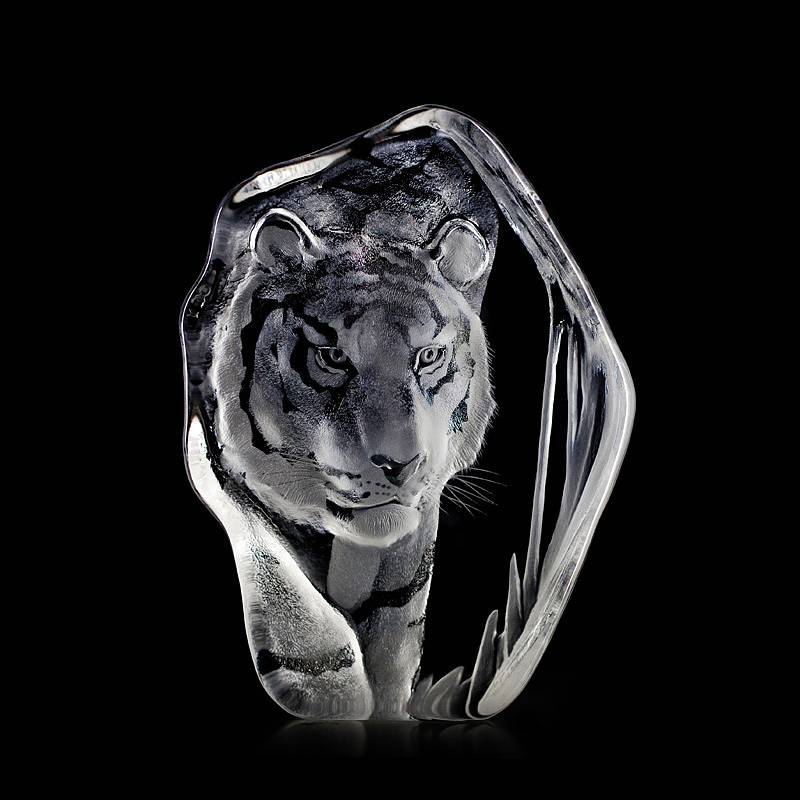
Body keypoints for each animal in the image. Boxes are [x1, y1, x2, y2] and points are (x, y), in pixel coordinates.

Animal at [183, 133, 500, 719]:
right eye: (332, 357)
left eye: (428, 356)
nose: (401, 465)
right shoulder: (209, 452)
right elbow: (277, 573)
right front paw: (329, 688)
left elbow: (397, 619)